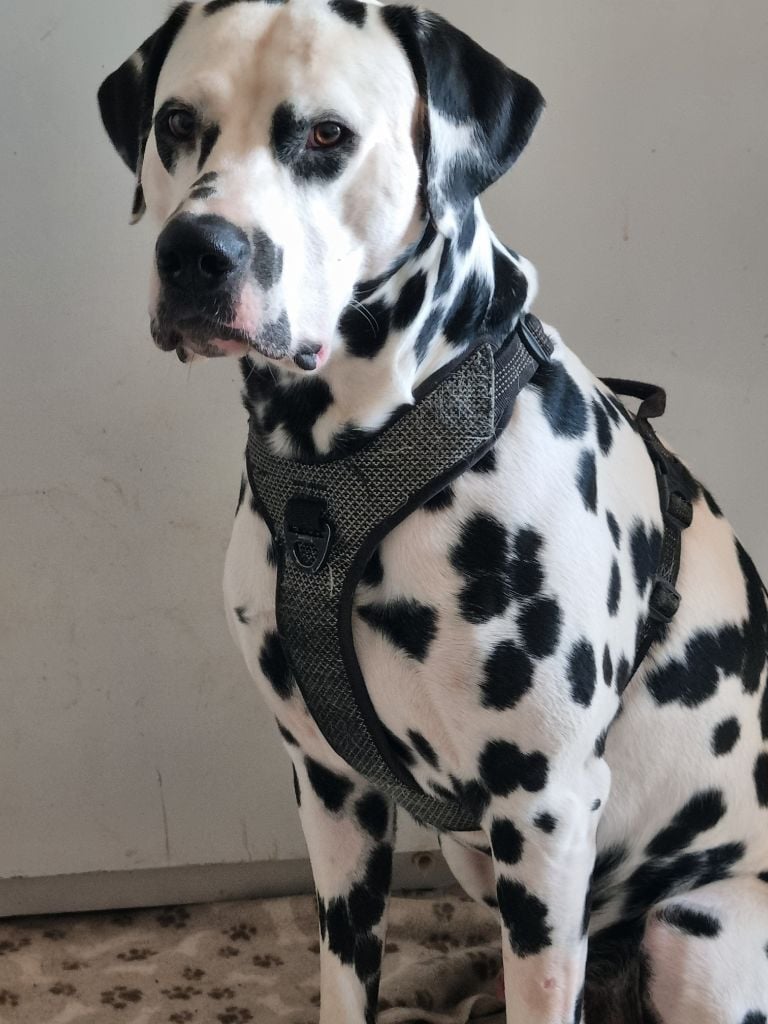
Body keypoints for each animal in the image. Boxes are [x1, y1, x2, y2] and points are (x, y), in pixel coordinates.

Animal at [98, 2, 768, 1021]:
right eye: (176, 123)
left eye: (326, 136)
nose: (196, 254)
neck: (336, 473)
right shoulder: (330, 788)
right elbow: (345, 978)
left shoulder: (545, 810)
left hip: (702, 930)